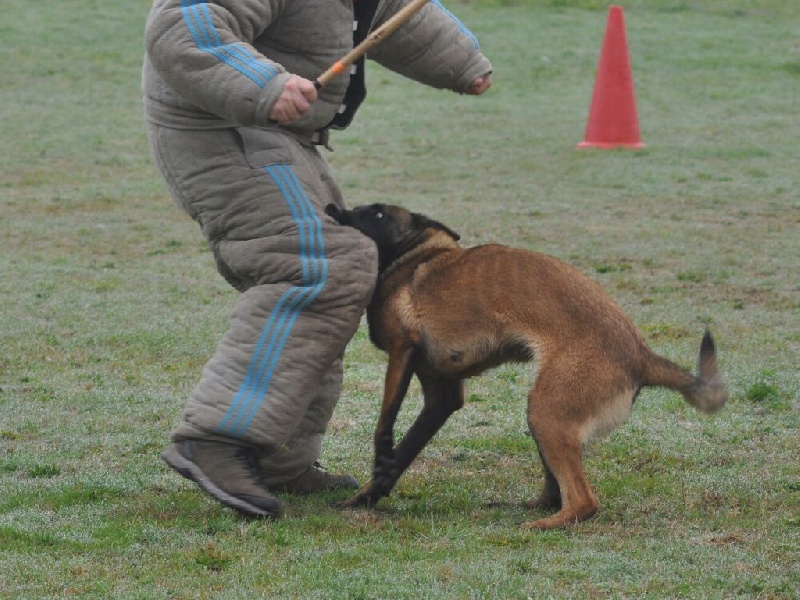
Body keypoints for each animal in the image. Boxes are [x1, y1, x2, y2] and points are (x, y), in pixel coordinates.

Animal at [324, 203, 724, 528]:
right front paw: (369, 494)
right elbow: (407, 448)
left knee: (583, 501)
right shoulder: (441, 394)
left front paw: (380, 461)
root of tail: (641, 353)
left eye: (376, 213)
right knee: (556, 492)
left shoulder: (401, 352)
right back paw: (527, 507)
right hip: (548, 417)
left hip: (546, 412)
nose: (332, 207)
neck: (411, 260)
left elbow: (385, 422)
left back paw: (544, 523)